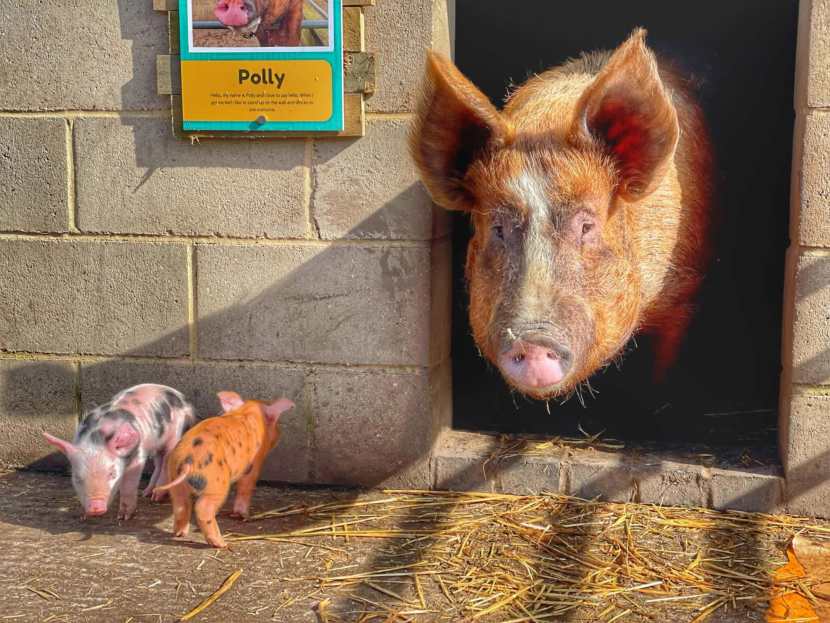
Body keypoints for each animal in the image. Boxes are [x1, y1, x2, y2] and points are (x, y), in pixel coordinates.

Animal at [43, 384, 195, 520]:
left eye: (112, 474)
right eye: (78, 478)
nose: (95, 508)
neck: (96, 438)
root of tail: (183, 400)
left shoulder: (137, 456)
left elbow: (128, 485)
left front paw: (123, 517)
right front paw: (84, 516)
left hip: (175, 434)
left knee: (166, 462)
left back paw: (156, 497)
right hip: (157, 442)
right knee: (159, 463)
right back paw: (147, 493)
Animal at [154, 392, 294, 548]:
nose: (280, 433)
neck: (247, 412)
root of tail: (188, 461)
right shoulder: (253, 466)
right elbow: (246, 487)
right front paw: (243, 515)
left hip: (175, 478)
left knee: (181, 505)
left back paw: (180, 533)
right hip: (216, 484)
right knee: (203, 509)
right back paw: (222, 544)